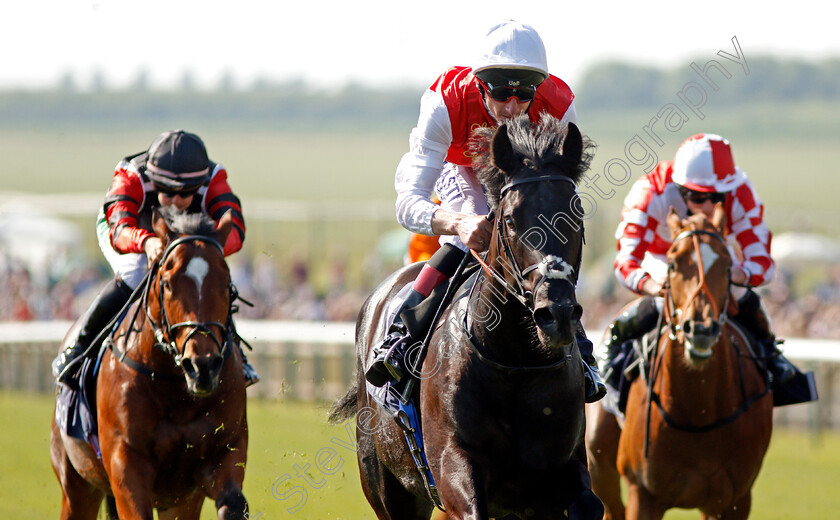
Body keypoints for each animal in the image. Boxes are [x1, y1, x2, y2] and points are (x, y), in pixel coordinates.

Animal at [50, 210, 249, 520]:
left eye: (227, 284)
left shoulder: (224, 450)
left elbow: (233, 503)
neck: (176, 391)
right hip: (76, 480)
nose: (202, 366)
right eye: (167, 283)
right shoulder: (125, 459)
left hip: (177, 502)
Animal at [584, 205, 776, 516]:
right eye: (673, 264)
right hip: (599, 461)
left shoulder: (734, 500)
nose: (700, 329)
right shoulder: (643, 493)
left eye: (726, 266)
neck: (700, 412)